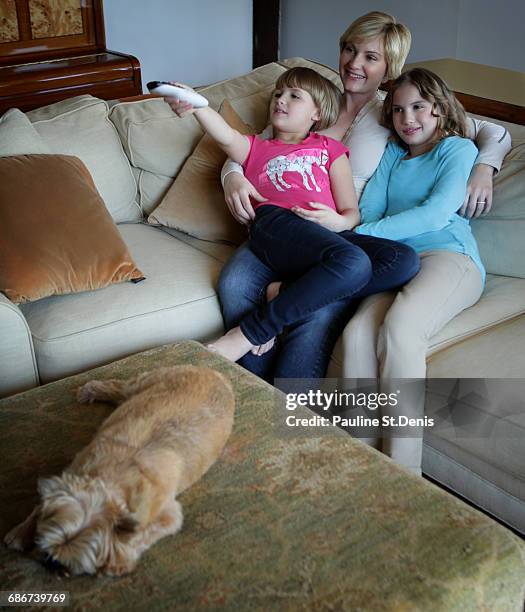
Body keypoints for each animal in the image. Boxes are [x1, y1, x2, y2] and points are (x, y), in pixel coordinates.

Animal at [3, 366, 233, 576]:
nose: (50, 562)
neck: (111, 479)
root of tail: (214, 372)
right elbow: (40, 505)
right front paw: (20, 532)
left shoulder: (168, 516)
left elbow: (141, 534)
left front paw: (117, 560)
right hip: (141, 385)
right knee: (116, 387)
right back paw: (91, 390)